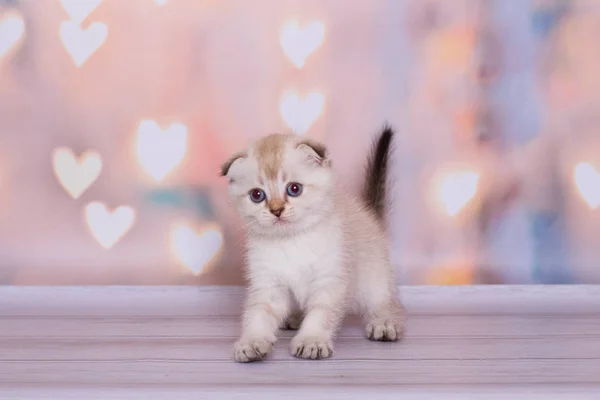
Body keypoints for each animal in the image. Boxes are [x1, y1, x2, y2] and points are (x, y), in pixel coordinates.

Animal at [221, 126, 408, 362]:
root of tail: (370, 216)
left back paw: (385, 324)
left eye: (294, 189)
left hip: (374, 278)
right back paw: (293, 318)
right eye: (257, 195)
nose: (276, 210)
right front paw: (252, 343)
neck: (292, 241)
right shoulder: (268, 284)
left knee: (386, 302)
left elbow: (321, 313)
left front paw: (312, 341)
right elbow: (258, 315)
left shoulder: (329, 279)